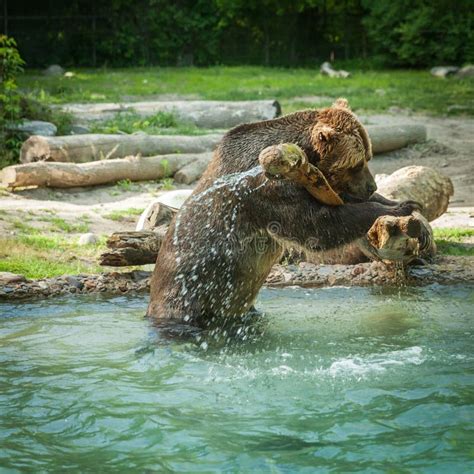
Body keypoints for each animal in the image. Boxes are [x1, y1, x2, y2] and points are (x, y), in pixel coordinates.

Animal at [147, 98, 418, 328]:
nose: (372, 186)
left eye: (368, 156)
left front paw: (403, 203)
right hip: (190, 293)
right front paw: (397, 207)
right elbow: (318, 225)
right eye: (357, 163)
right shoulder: (269, 190)